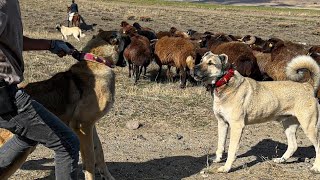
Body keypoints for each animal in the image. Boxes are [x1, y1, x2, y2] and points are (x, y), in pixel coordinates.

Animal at [0, 30, 127, 179]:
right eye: (126, 36)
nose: (134, 36)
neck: (98, 61)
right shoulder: (82, 126)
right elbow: (90, 160)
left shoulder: (90, 125)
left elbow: (99, 152)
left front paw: (107, 176)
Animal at [192, 51, 320, 173]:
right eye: (201, 60)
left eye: (210, 63)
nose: (194, 68)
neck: (225, 82)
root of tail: (307, 86)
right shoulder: (222, 123)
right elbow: (220, 144)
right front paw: (218, 159)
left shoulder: (237, 126)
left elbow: (231, 149)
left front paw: (226, 168)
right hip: (289, 125)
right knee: (293, 145)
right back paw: (281, 160)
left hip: (309, 126)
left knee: (317, 146)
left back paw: (316, 167)